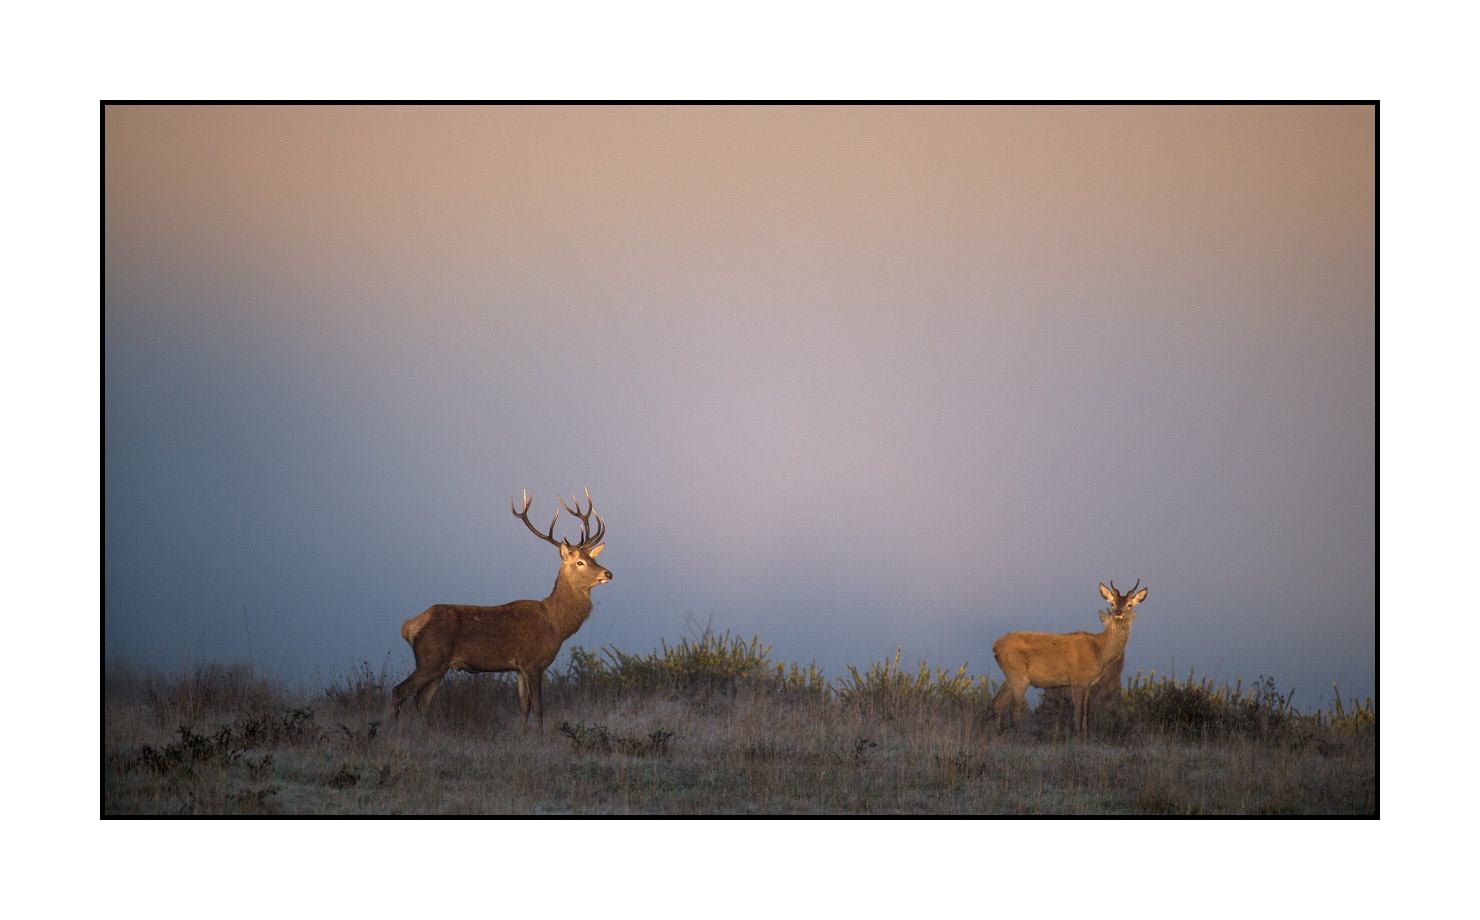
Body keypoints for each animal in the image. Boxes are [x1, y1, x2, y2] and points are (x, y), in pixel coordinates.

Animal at [391, 488, 612, 734]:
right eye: (580, 562)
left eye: (594, 558)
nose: (608, 573)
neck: (556, 625)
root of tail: (409, 625)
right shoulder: (533, 662)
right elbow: (539, 707)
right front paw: (541, 737)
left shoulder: (518, 667)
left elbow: (524, 706)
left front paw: (523, 736)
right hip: (430, 658)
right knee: (400, 691)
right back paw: (392, 733)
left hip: (439, 666)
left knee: (422, 700)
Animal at [990, 579, 1148, 736]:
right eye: (1112, 603)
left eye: (1129, 604)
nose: (1118, 612)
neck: (1100, 651)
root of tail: (995, 646)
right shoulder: (1077, 680)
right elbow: (1078, 713)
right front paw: (1077, 736)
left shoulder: (1089, 684)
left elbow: (1086, 714)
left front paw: (1085, 736)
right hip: (1018, 675)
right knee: (1013, 709)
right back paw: (1020, 736)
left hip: (1011, 675)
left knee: (997, 702)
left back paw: (999, 732)